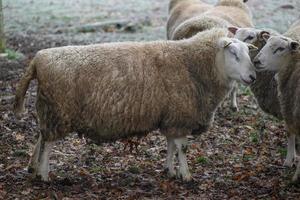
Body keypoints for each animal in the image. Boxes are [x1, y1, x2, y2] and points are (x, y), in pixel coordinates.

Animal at [14, 27, 258, 182]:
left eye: (248, 52)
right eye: (233, 53)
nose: (253, 77)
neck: (192, 65)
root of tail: (38, 59)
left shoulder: (171, 117)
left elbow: (171, 145)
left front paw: (170, 171)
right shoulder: (180, 116)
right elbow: (182, 148)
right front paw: (186, 175)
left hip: (49, 109)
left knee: (41, 137)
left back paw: (34, 168)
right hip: (58, 111)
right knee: (48, 144)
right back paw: (44, 175)